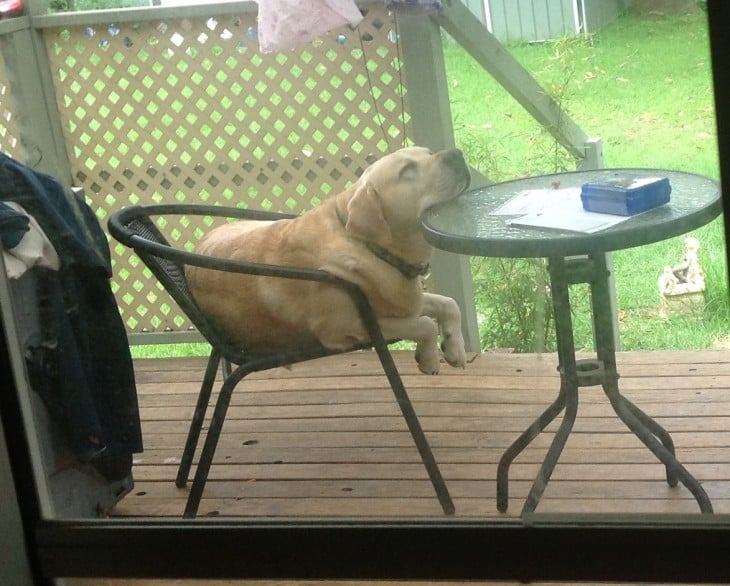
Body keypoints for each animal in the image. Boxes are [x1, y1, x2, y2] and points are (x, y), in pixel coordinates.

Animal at [185, 147, 470, 374]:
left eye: (427, 151)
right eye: (407, 170)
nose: (457, 153)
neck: (368, 246)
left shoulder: (402, 303)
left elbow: (449, 303)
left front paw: (454, 347)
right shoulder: (346, 325)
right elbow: (425, 325)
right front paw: (430, 358)